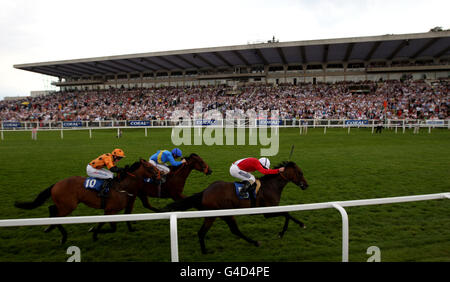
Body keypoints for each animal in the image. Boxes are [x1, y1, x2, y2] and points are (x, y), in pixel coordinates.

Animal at [14, 160, 160, 243]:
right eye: (151, 167)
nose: (161, 175)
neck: (123, 186)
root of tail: (56, 184)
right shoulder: (110, 210)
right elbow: (111, 227)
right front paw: (93, 232)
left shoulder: (110, 211)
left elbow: (105, 225)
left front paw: (94, 233)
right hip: (68, 206)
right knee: (56, 215)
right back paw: (63, 236)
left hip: (64, 205)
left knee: (52, 209)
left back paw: (50, 227)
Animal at [163, 161, 308, 256]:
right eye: (300, 173)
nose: (306, 185)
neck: (271, 186)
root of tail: (205, 191)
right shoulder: (267, 211)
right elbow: (287, 213)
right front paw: (283, 232)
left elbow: (288, 214)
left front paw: (299, 225)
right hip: (224, 214)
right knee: (234, 230)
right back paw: (255, 242)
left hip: (213, 216)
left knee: (202, 233)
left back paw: (204, 251)